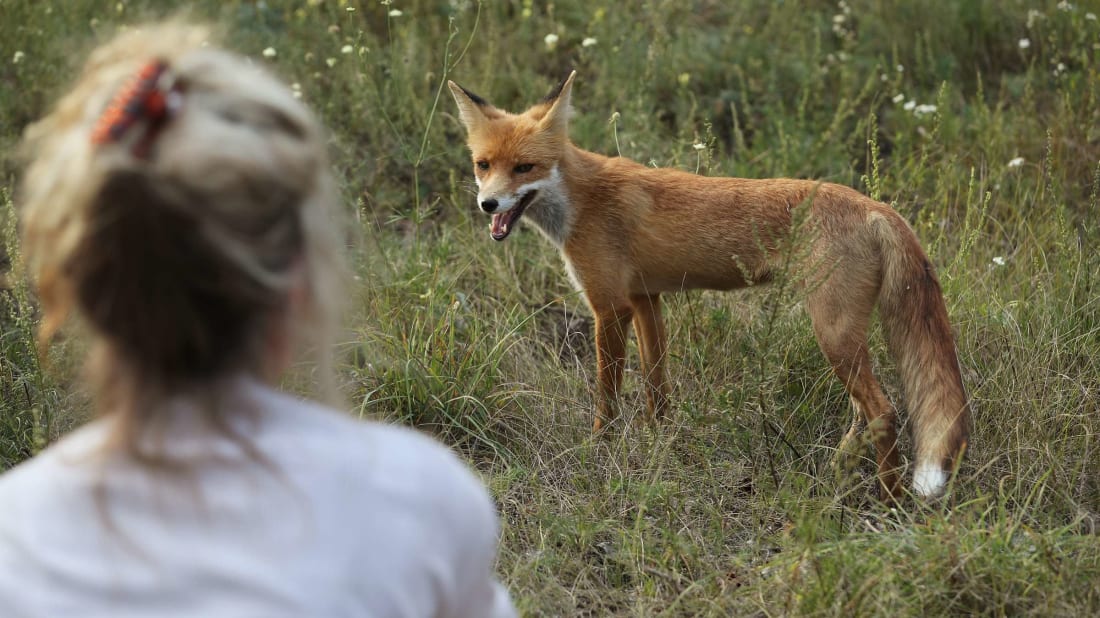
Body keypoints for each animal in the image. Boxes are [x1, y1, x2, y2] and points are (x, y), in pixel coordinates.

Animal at [448, 69, 972, 497]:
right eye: (483, 165)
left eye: (524, 168)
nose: (488, 205)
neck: (582, 201)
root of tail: (876, 205)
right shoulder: (646, 299)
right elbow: (657, 389)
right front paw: (660, 444)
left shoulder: (609, 307)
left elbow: (607, 397)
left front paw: (599, 451)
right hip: (841, 339)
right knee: (863, 412)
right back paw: (834, 475)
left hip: (833, 333)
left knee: (883, 411)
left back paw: (888, 500)